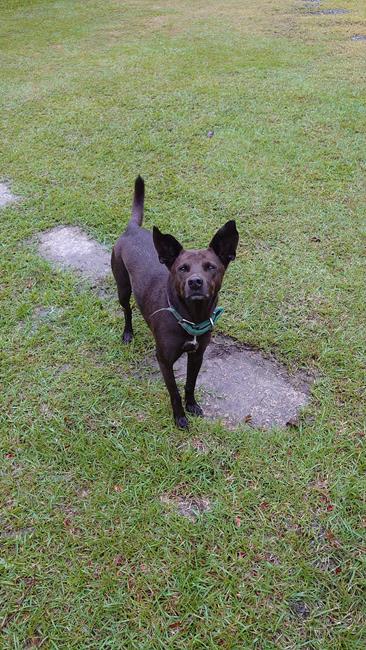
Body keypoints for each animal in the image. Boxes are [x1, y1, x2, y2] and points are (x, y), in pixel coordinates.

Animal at [111, 177, 239, 428]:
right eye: (182, 268)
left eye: (211, 267)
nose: (195, 282)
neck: (191, 317)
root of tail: (132, 229)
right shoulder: (164, 361)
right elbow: (174, 392)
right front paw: (180, 417)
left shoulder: (197, 355)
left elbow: (190, 384)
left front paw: (192, 406)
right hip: (122, 287)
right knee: (127, 310)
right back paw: (128, 333)